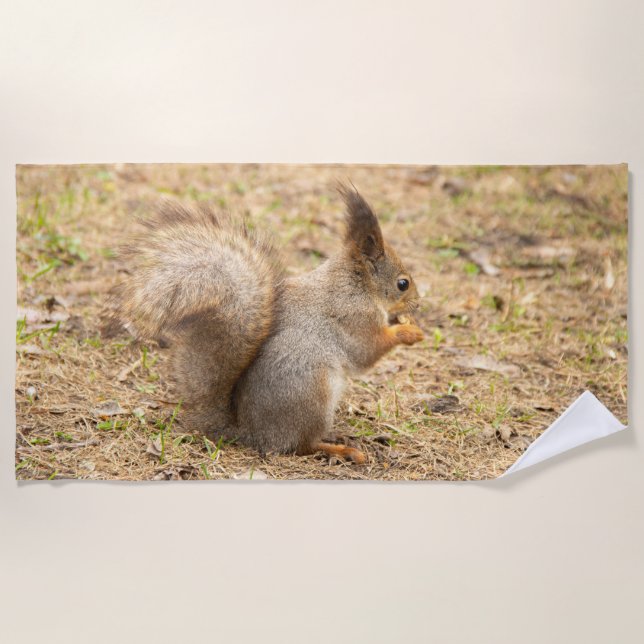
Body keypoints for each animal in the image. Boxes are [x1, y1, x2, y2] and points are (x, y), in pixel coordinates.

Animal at [107, 184, 424, 464]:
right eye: (403, 283)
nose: (418, 304)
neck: (356, 284)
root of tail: (251, 433)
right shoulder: (354, 317)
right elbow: (367, 351)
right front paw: (409, 331)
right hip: (312, 393)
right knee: (301, 446)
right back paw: (340, 449)